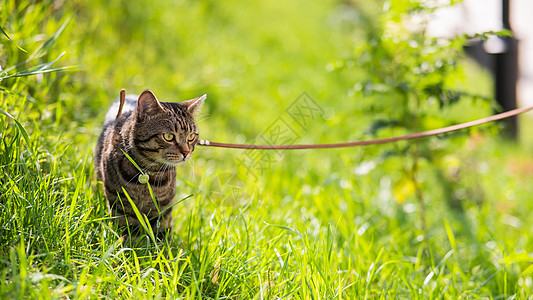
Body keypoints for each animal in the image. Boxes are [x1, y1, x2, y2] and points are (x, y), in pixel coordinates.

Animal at [94, 90, 205, 236]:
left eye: (191, 137)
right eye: (168, 136)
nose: (186, 153)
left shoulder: (163, 207)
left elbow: (160, 234)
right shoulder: (121, 203)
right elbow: (128, 233)